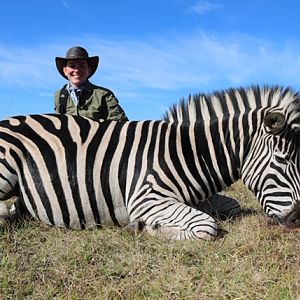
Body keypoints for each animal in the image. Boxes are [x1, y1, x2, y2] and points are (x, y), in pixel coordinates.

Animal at [0, 85, 298, 240]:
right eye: (283, 160)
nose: (296, 219)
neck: (186, 153)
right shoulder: (147, 198)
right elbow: (206, 227)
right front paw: (144, 227)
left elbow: (231, 206)